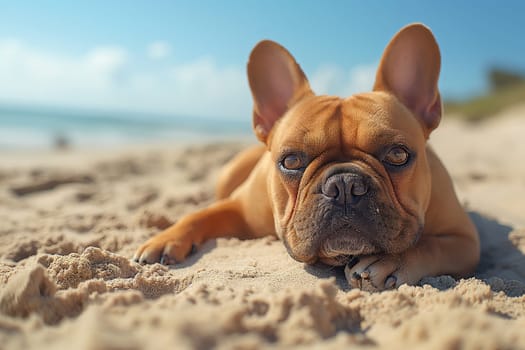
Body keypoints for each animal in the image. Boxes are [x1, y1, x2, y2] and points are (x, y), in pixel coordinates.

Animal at [134, 22, 478, 290]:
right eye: (291, 161)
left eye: (397, 155)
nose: (345, 185)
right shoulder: (240, 209)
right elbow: (200, 215)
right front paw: (165, 238)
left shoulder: (466, 241)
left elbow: (430, 245)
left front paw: (388, 261)